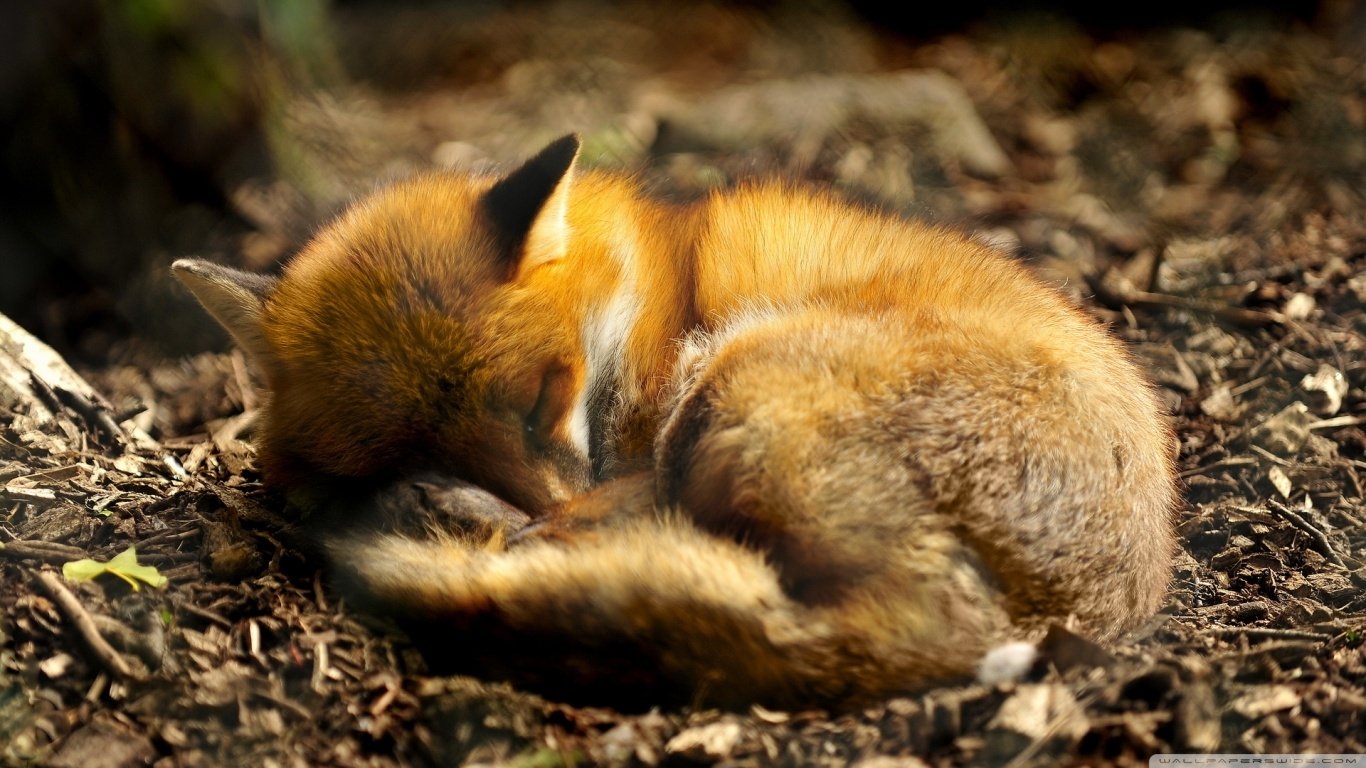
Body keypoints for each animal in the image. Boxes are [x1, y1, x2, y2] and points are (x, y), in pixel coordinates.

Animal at [173, 134, 1178, 709]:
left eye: (543, 397)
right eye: (399, 443)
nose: (533, 504)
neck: (647, 293)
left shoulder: (640, 432)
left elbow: (611, 499)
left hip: (737, 382)